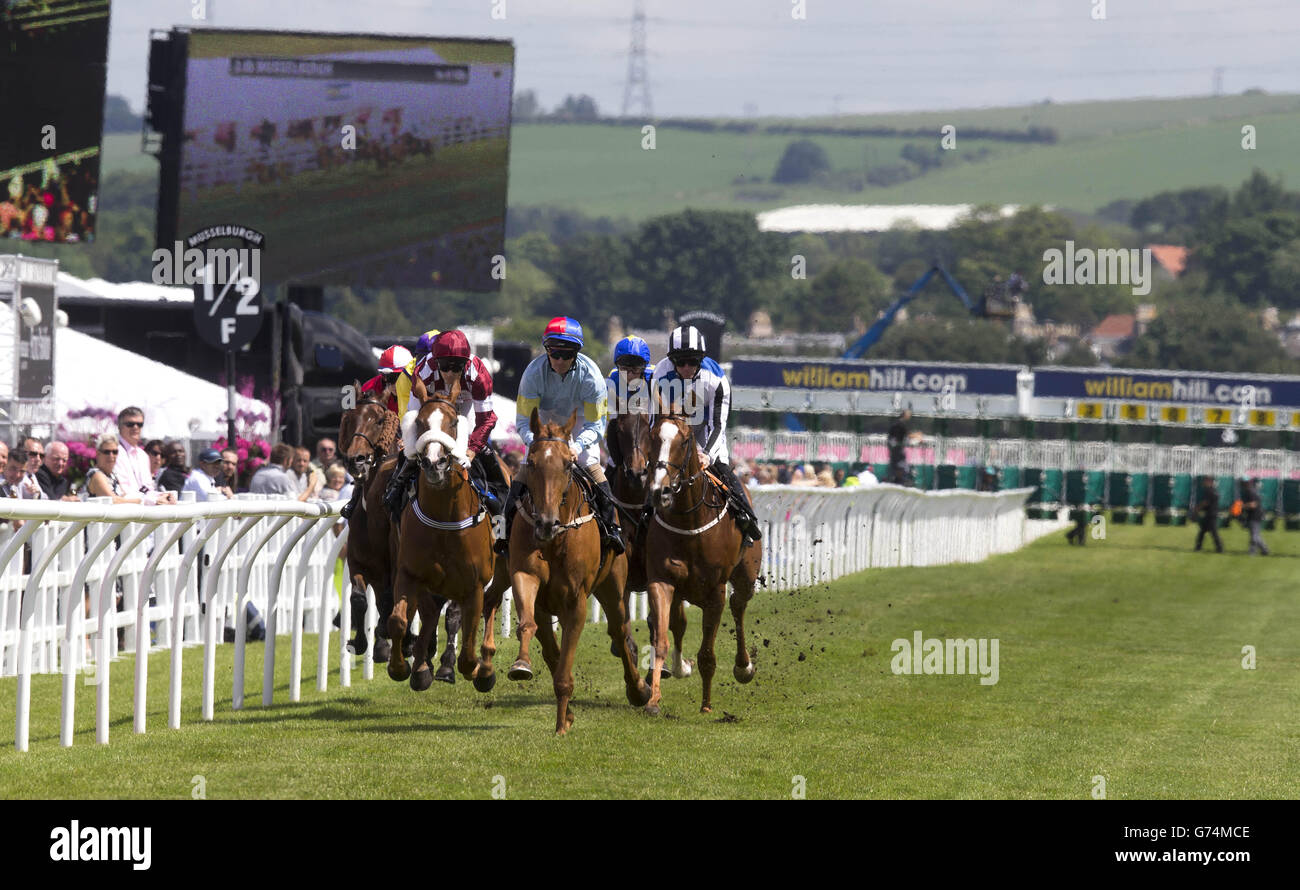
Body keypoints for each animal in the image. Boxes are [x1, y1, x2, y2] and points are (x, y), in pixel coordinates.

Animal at [382, 374, 499, 696]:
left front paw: (475, 668)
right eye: (420, 423)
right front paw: (401, 667)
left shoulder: (475, 584)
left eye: (454, 423)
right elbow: (398, 620)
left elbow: (468, 645)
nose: (434, 463)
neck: (445, 517)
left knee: (490, 608)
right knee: (430, 613)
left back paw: (485, 669)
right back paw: (422, 669)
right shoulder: (409, 573)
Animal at [504, 410, 650, 737]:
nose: (546, 522)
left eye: (568, 464)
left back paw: (639, 691)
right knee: (551, 647)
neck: (556, 539)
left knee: (620, 632)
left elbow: (564, 669)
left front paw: (561, 725)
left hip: (613, 587)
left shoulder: (576, 601)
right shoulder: (526, 577)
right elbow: (530, 627)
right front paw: (521, 665)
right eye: (532, 462)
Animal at [642, 397, 759, 717]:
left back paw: (744, 667)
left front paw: (706, 705)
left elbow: (707, 652)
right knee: (679, 622)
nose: (660, 491)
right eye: (652, 436)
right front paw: (654, 700)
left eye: (684, 441)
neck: (688, 522)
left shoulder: (715, 591)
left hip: (745, 576)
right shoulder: (661, 580)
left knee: (739, 605)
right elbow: (661, 639)